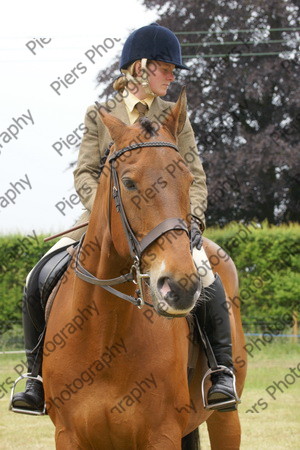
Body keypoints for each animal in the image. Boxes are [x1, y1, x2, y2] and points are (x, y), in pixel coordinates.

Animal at [43, 89, 247, 448]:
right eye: (128, 183)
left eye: (188, 179)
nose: (180, 287)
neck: (104, 335)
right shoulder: (68, 435)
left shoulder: (161, 434)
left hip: (225, 418)